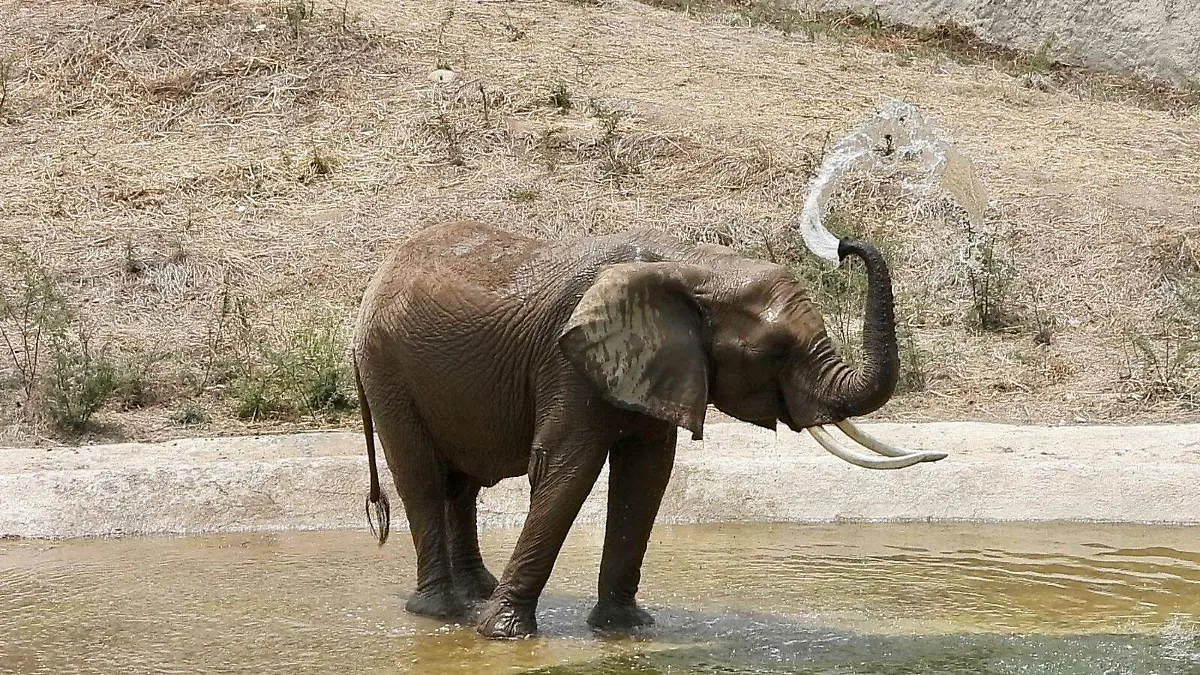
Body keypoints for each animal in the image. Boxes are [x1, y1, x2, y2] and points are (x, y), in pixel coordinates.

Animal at [350, 219, 944, 640]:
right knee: (424, 479)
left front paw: (626, 630)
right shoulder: (567, 364)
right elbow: (566, 470)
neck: (691, 265)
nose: (843, 247)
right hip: (387, 368)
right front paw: (503, 636)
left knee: (462, 485)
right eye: (775, 352)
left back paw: (476, 593)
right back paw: (441, 612)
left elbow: (647, 475)